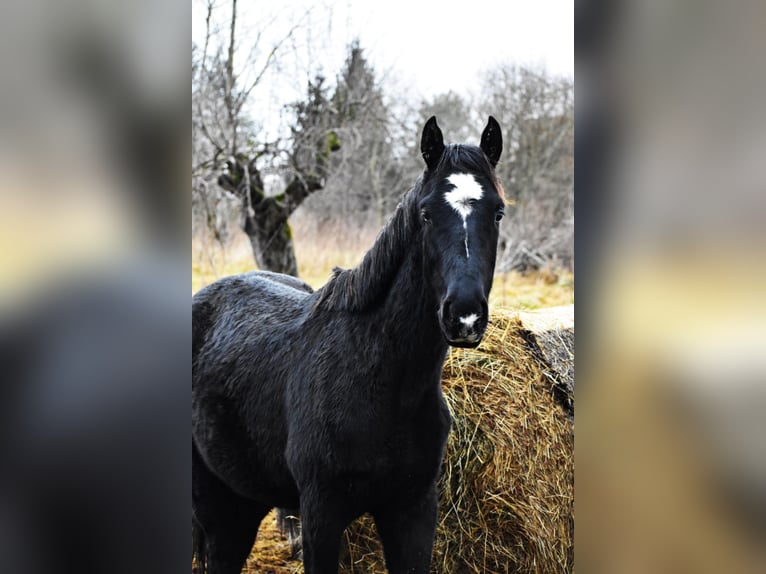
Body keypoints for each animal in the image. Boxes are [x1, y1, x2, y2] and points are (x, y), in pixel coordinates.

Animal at [194, 117, 504, 574]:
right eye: (426, 213)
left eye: (498, 212)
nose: (464, 315)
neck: (382, 379)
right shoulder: (321, 514)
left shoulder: (413, 510)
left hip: (243, 500)